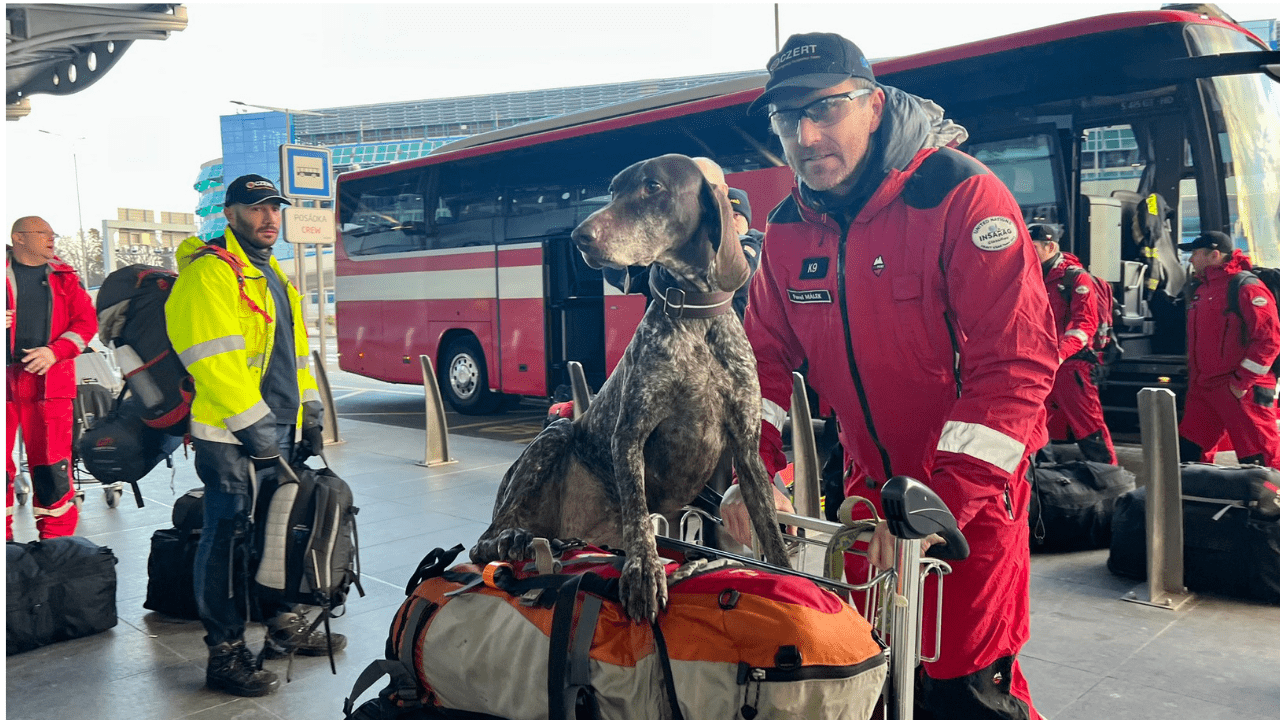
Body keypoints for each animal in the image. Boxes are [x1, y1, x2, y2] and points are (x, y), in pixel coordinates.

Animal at [471, 154, 788, 620]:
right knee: (485, 541)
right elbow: (638, 513)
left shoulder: (746, 450)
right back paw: (510, 538)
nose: (579, 236)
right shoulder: (630, 434)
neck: (694, 315)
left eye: (652, 186)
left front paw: (788, 572)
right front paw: (644, 570)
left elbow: (768, 526)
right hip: (555, 435)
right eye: (613, 189)